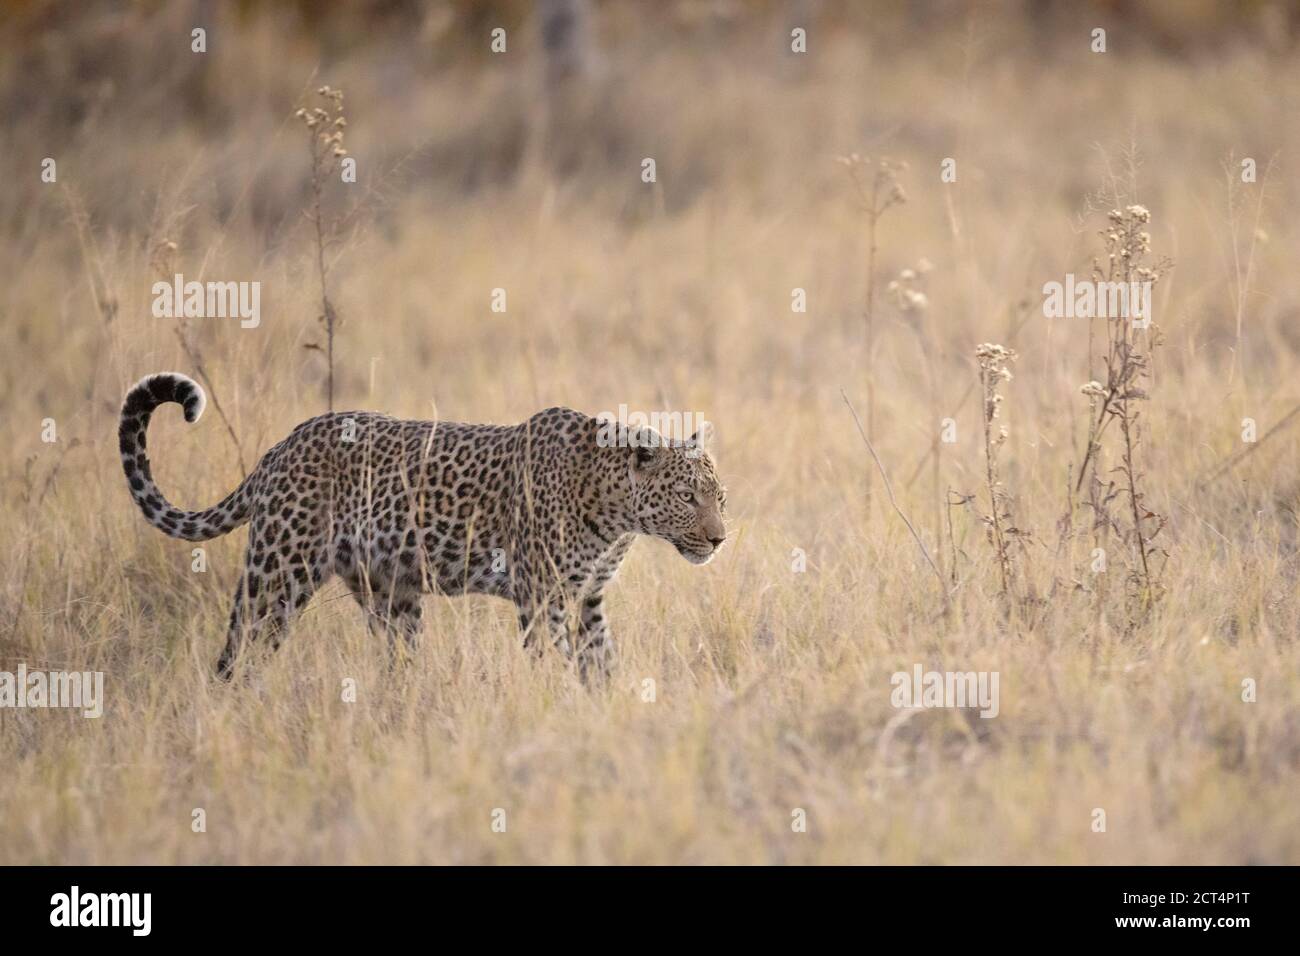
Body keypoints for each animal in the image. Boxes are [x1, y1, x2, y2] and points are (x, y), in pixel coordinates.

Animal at [119, 374, 733, 681]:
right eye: (687, 496)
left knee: (397, 659)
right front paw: (562, 708)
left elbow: (601, 663)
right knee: (239, 649)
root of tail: (278, 449)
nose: (719, 539)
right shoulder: (544, 598)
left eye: (719, 496)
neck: (616, 515)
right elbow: (555, 663)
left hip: (390, 592)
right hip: (278, 573)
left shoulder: (588, 598)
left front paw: (606, 708)